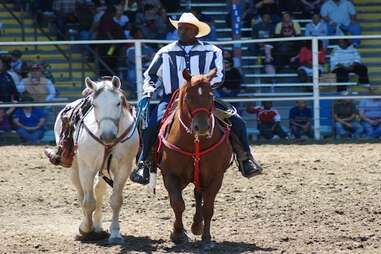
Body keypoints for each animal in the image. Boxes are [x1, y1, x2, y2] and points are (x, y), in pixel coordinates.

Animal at [52, 76, 138, 243]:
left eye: (118, 103)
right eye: (94, 104)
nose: (107, 136)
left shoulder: (123, 168)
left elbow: (115, 200)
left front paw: (115, 233)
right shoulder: (87, 169)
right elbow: (88, 202)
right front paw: (85, 229)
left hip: (104, 170)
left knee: (98, 191)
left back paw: (97, 226)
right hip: (74, 168)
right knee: (82, 194)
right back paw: (88, 225)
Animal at [156, 68, 233, 249]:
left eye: (211, 96)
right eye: (188, 97)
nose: (202, 127)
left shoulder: (216, 176)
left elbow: (208, 207)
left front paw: (206, 238)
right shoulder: (170, 175)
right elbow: (178, 204)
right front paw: (177, 234)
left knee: (199, 196)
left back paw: (197, 225)